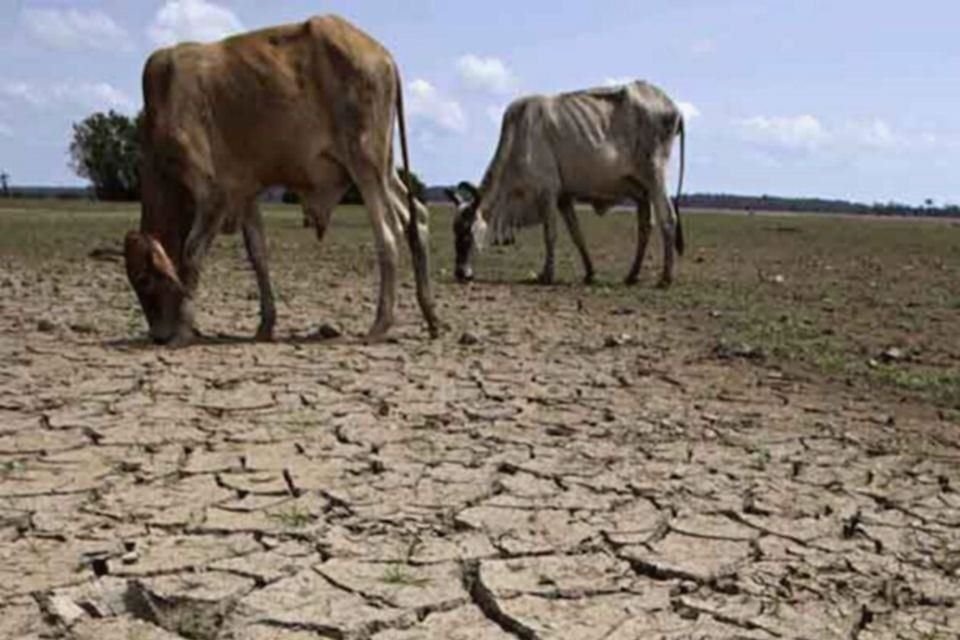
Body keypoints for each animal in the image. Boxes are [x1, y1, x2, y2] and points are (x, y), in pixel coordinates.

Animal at [125, 15, 440, 344]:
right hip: (385, 168)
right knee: (416, 218)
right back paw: (430, 316)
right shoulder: (245, 192)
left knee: (388, 235)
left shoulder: (214, 194)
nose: (158, 334)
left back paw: (380, 324)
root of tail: (383, 55)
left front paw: (183, 328)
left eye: (144, 279)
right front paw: (265, 324)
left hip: (365, 163)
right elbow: (258, 255)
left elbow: (192, 254)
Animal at [448, 80, 684, 288]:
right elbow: (576, 235)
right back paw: (632, 276)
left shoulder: (547, 192)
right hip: (643, 190)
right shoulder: (563, 198)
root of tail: (673, 107)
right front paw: (590, 273)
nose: (460, 273)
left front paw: (547, 275)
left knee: (668, 218)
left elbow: (550, 234)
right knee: (645, 226)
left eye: (467, 233)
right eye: (454, 231)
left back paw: (665, 278)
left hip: (655, 177)